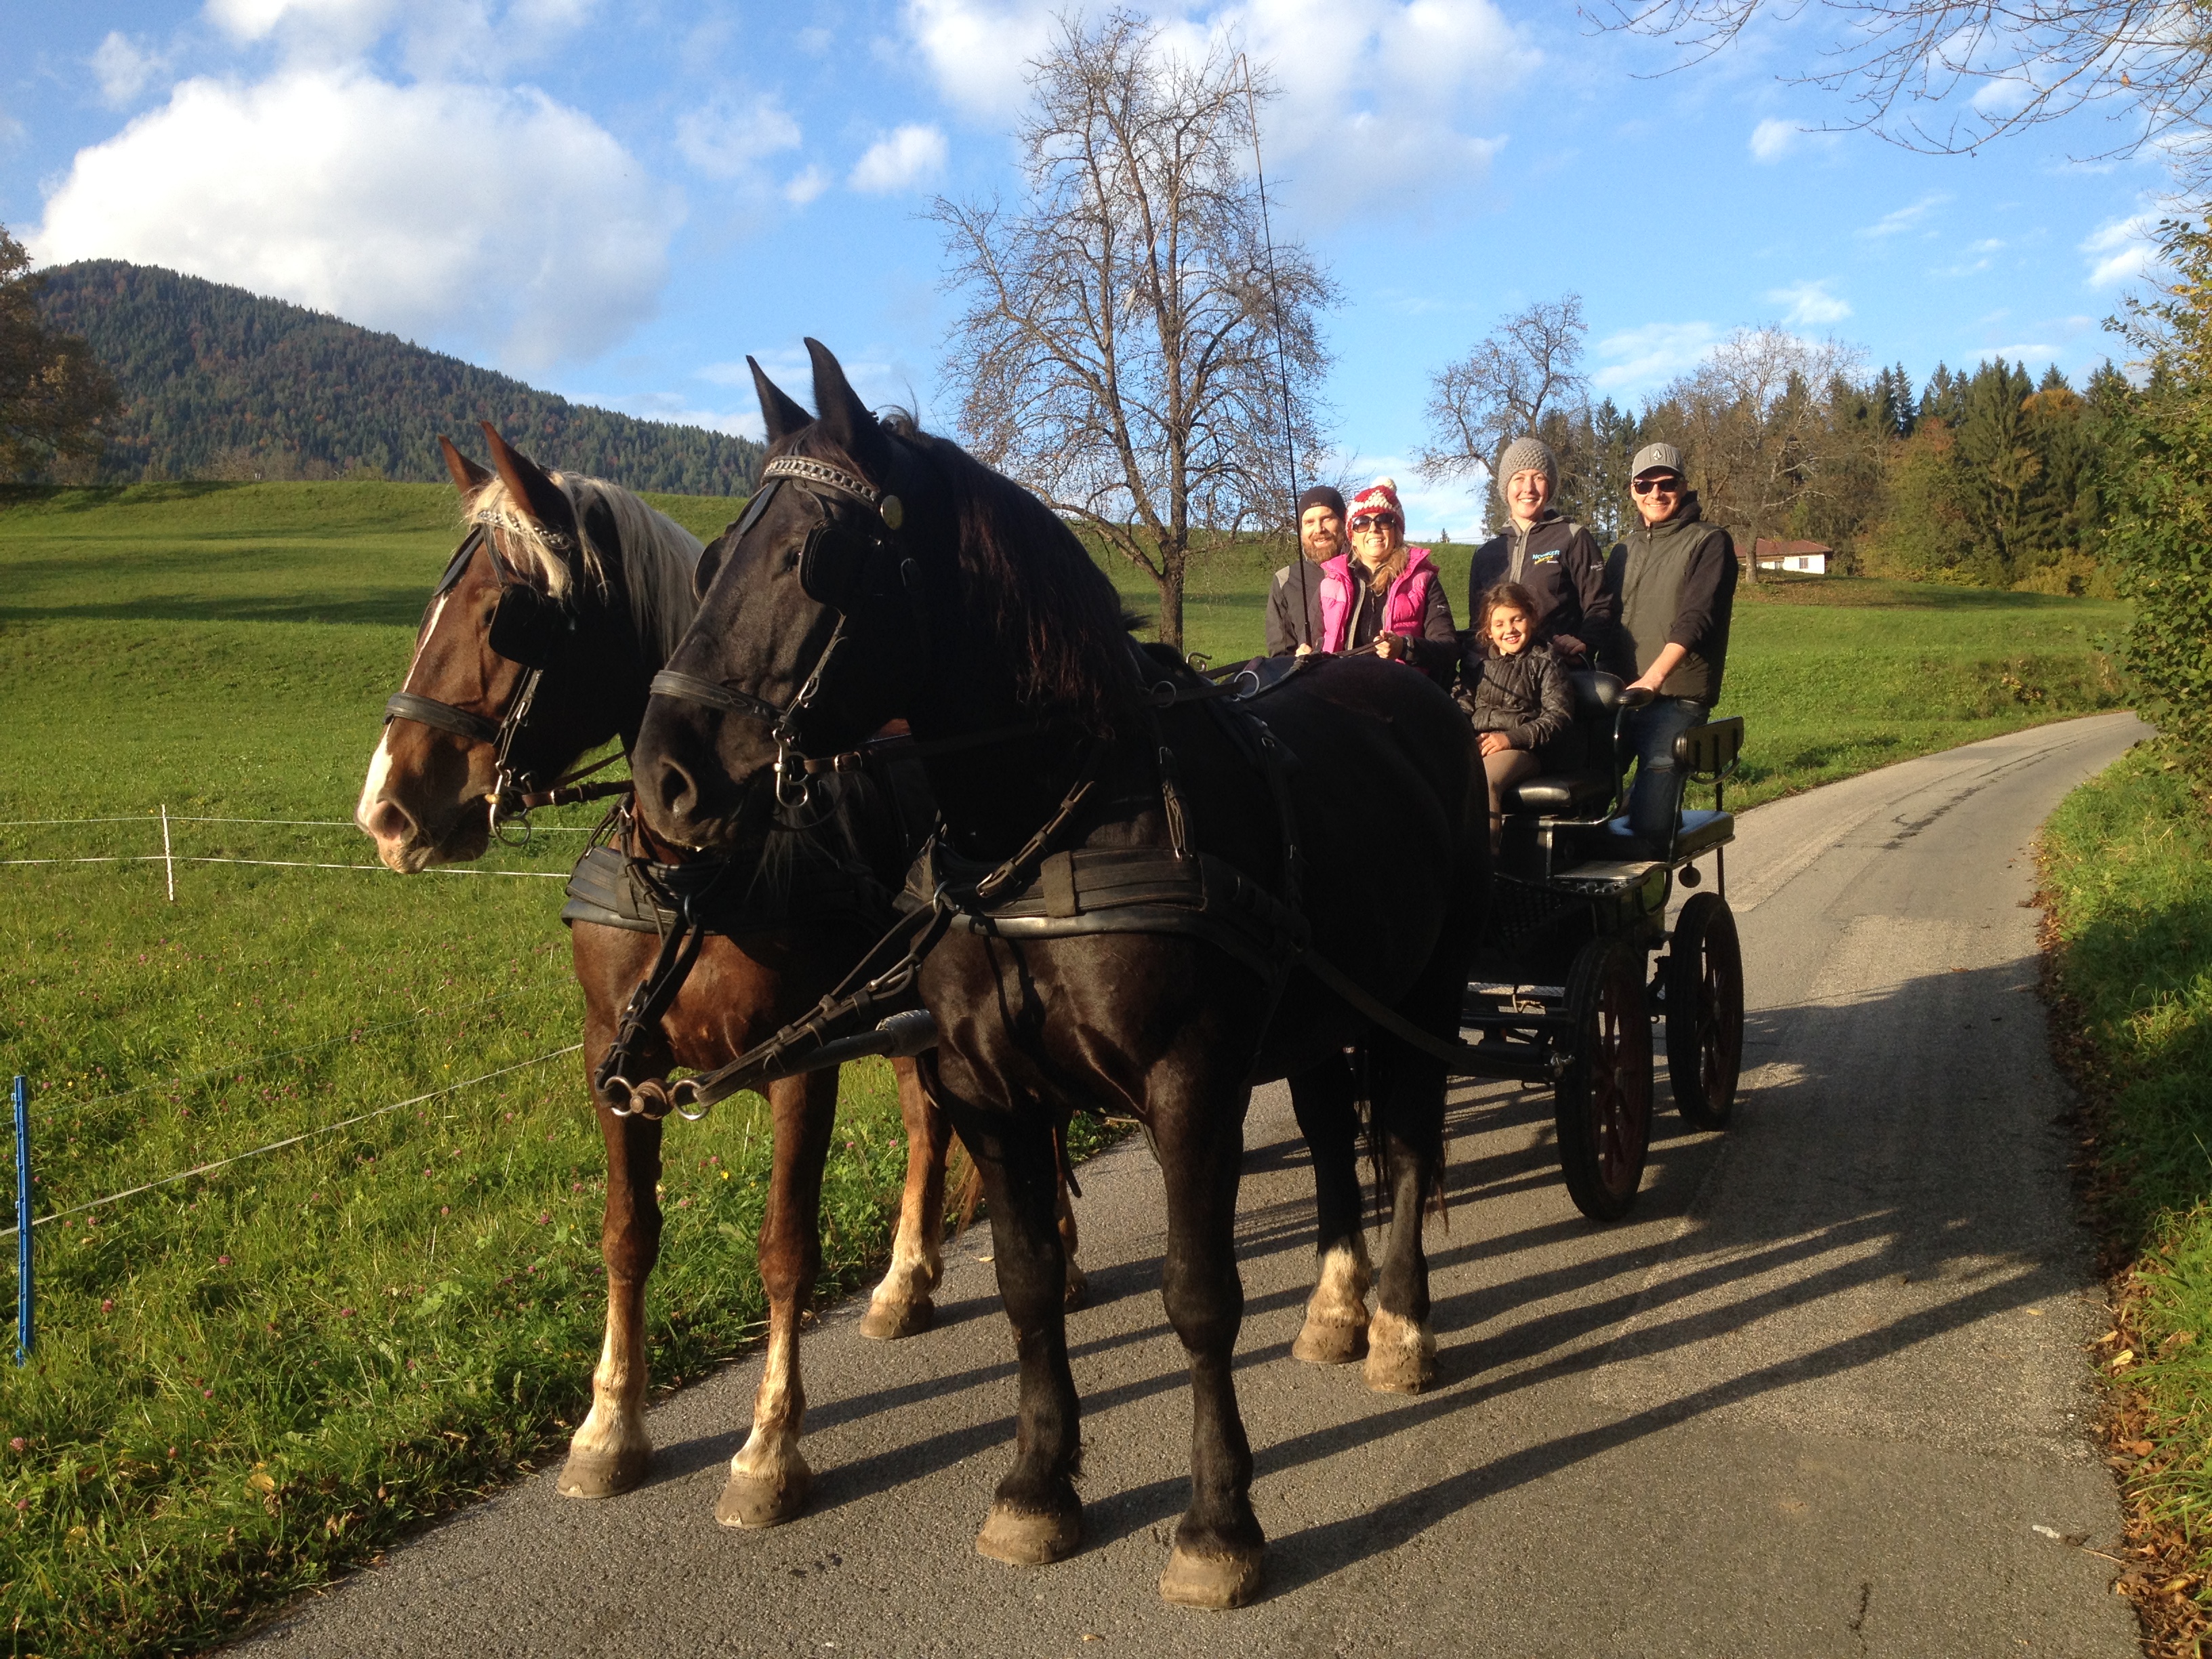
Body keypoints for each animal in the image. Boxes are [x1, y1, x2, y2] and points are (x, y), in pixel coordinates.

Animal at [358, 431, 1021, 1530]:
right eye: (427, 611)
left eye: (505, 617)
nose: (386, 812)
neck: (693, 872)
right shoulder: (612, 1060)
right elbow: (627, 1236)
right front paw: (608, 1429)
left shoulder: (803, 1061)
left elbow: (786, 1249)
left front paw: (769, 1450)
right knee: (929, 1123)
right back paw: (904, 1283)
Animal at [628, 340, 1486, 1610]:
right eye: (717, 554)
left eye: (814, 561)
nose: (664, 781)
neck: (1046, 827)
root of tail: (1408, 690)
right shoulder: (991, 1096)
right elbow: (1029, 1283)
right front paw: (1036, 1487)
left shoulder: (1189, 1085)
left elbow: (1199, 1295)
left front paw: (1217, 1521)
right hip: (1319, 1007)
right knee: (1339, 1134)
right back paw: (1338, 1306)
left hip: (1421, 995)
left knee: (1413, 1141)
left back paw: (1400, 1326)